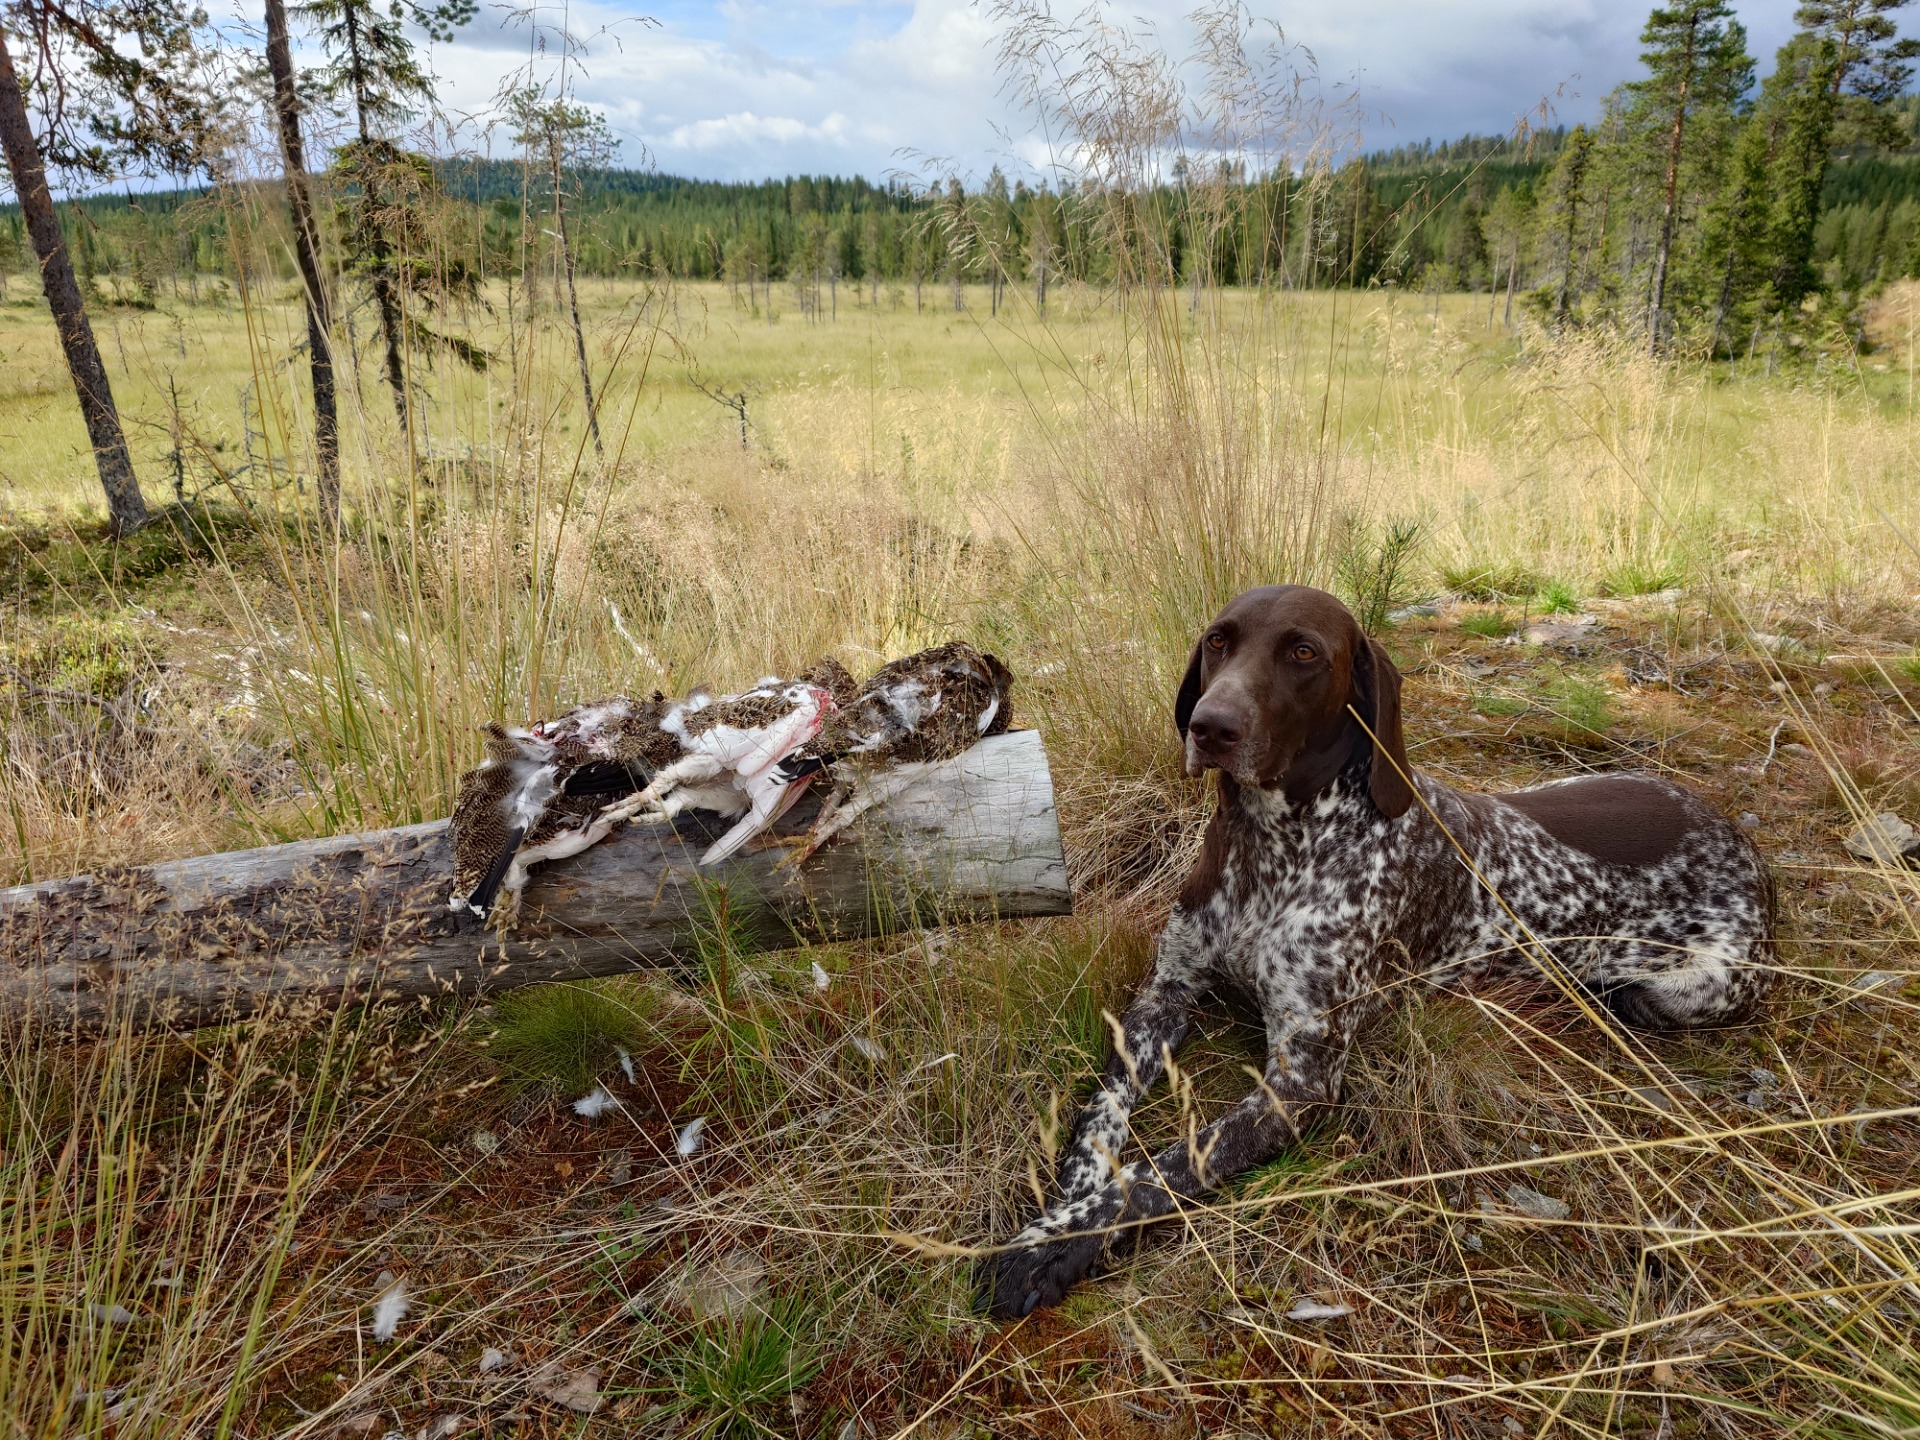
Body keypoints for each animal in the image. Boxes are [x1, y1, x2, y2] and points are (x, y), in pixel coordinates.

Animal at [981, 585, 1774, 1318]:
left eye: (1303, 652)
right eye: (1218, 640)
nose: (1211, 727)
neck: (1275, 850)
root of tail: (1734, 832)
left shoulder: (1300, 1080)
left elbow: (1162, 1170)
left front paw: (1053, 1246)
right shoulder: (1164, 995)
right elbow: (1099, 1122)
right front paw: (1060, 1211)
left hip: (1696, 987)